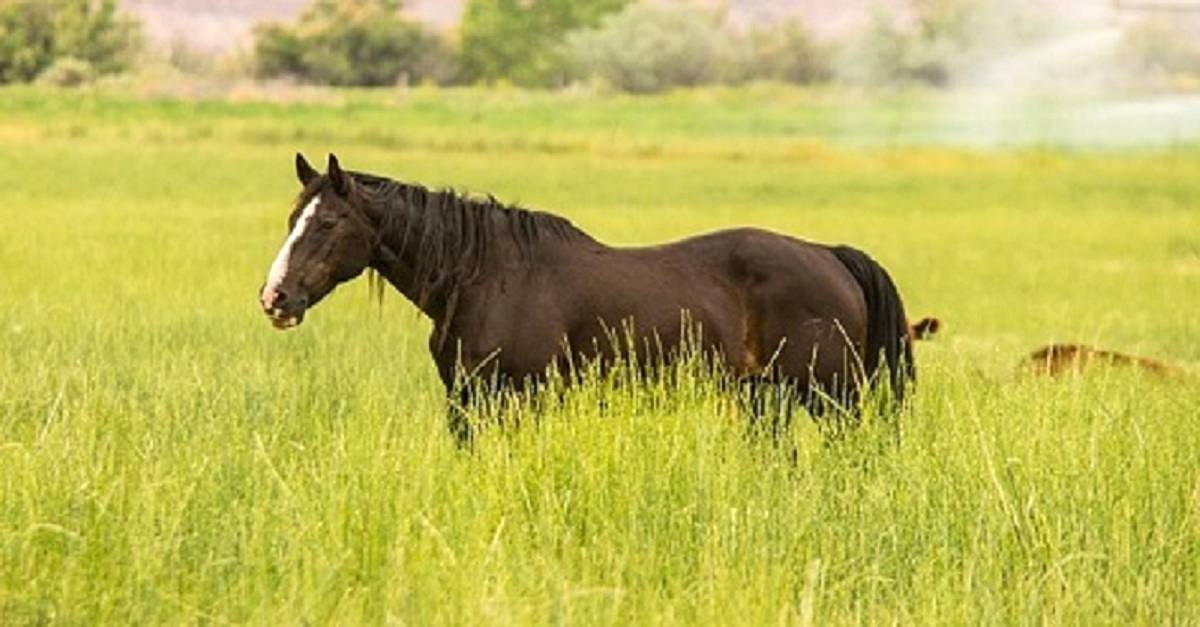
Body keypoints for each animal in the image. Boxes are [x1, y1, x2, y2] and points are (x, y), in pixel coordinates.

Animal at [260, 153, 916, 442]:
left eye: (327, 224)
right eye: (294, 218)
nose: (275, 298)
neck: (486, 277)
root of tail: (828, 255)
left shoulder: (517, 398)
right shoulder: (465, 401)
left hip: (833, 398)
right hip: (765, 400)